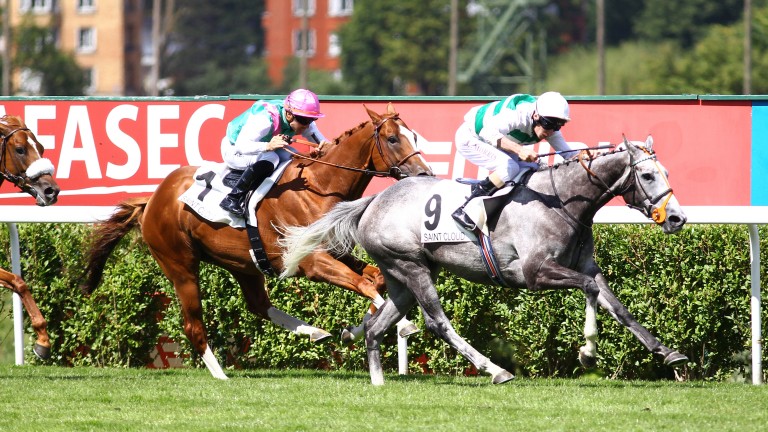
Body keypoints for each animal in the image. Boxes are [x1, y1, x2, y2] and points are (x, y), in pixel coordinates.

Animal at [84, 104, 436, 378]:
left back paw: (315, 332)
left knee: (258, 304)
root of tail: (153, 199)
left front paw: (358, 327)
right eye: (392, 138)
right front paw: (403, 325)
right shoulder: (310, 262)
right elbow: (363, 284)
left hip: (243, 263)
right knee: (193, 326)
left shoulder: (337, 254)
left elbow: (375, 280)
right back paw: (221, 375)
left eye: (415, 136)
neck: (319, 189)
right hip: (180, 266)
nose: (425, 175)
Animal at [282, 136, 688, 384]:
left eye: (667, 172)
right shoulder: (536, 273)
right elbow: (588, 290)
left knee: (378, 326)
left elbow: (618, 307)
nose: (677, 218)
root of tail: (374, 200)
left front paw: (669, 354)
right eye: (647, 174)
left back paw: (376, 375)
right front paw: (588, 352)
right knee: (437, 323)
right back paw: (494, 369)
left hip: (403, 276)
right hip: (411, 267)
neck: (563, 201)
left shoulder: (586, 266)